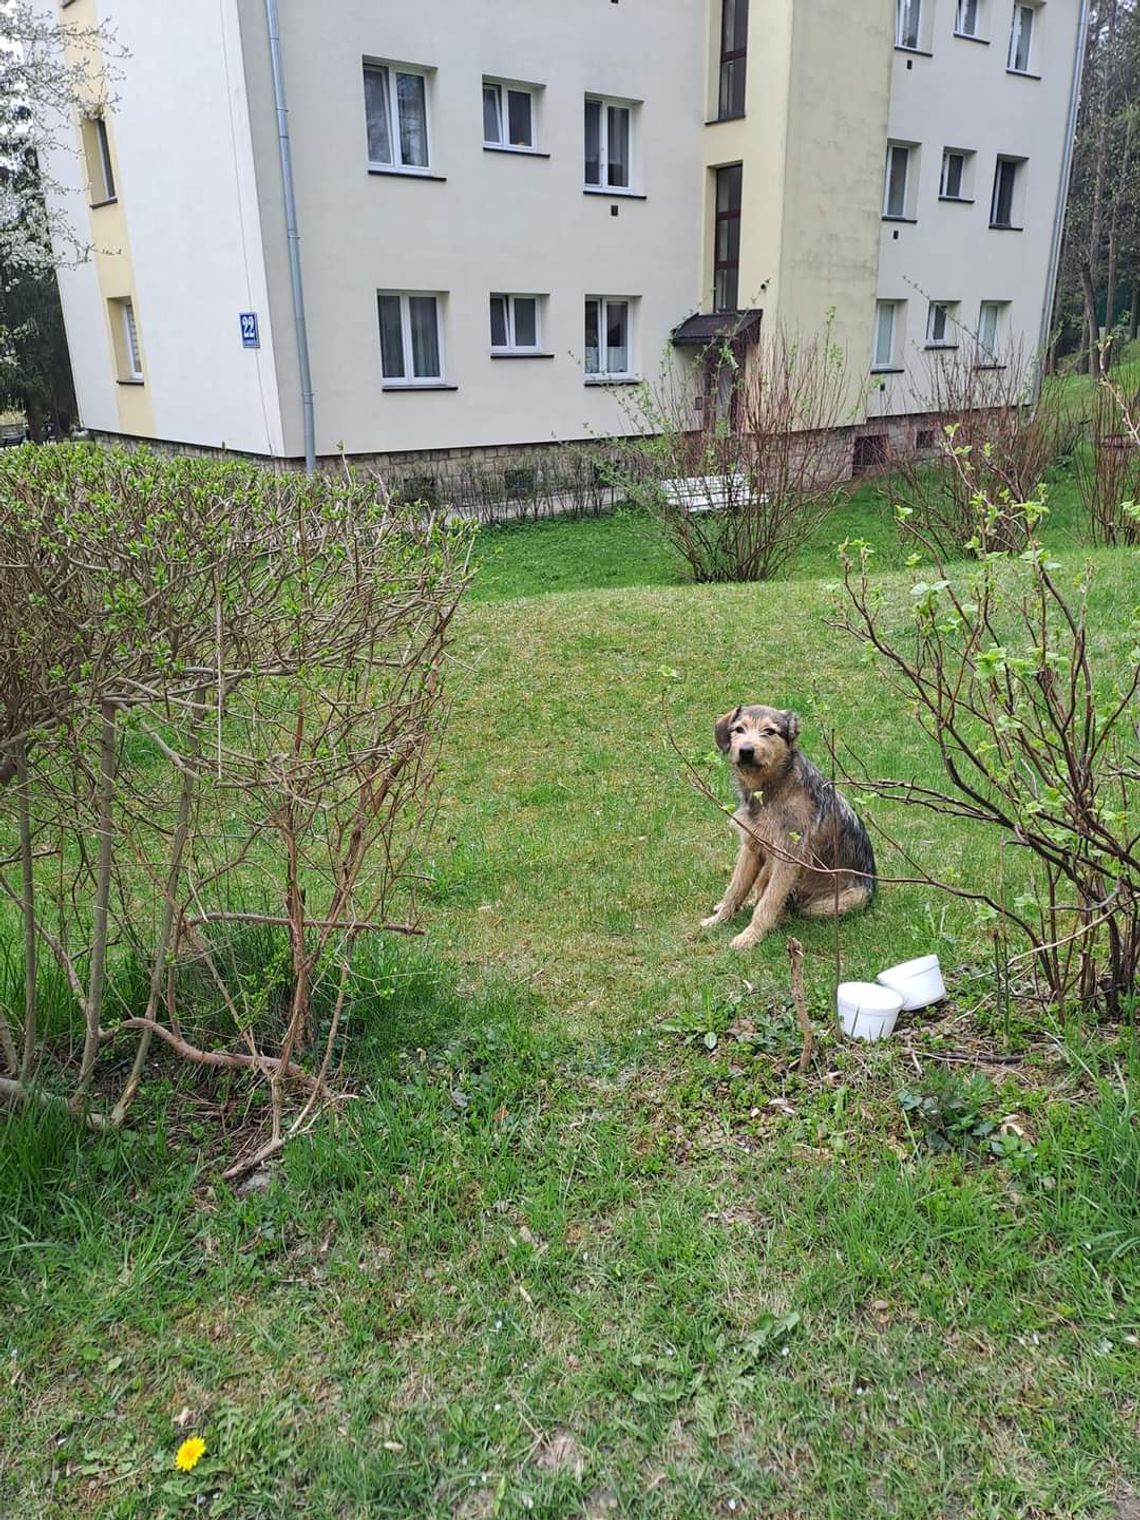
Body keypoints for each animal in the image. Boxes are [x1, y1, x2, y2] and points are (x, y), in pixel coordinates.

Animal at [702, 702, 881, 948]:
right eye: (739, 729)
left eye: (769, 731)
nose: (746, 750)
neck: (769, 790)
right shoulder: (751, 847)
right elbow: (735, 889)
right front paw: (719, 920)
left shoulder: (788, 858)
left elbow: (767, 903)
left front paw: (750, 937)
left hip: (848, 898)